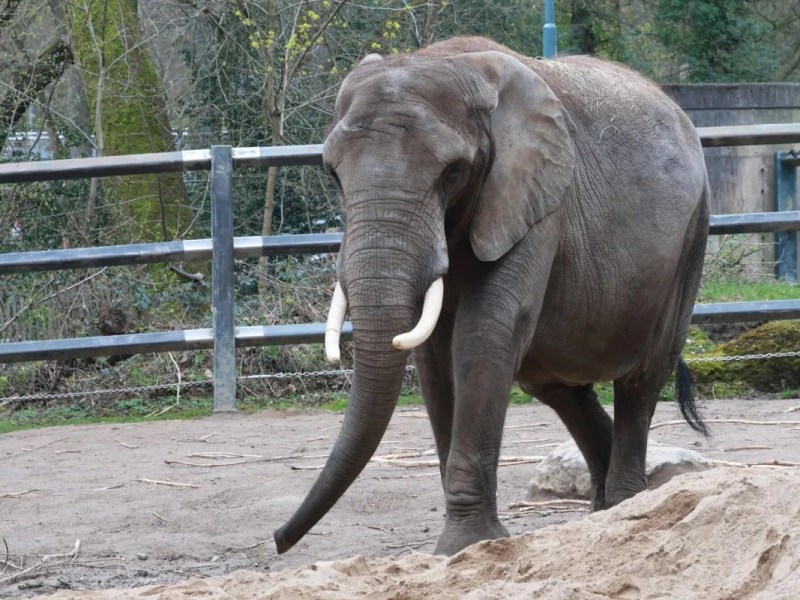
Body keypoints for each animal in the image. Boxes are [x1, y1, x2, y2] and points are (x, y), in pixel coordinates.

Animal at [274, 36, 709, 556]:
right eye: (333, 175)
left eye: (453, 173)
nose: (278, 540)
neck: (444, 59)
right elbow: (434, 356)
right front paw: (462, 546)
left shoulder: (536, 200)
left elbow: (484, 335)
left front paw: (466, 545)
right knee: (556, 385)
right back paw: (605, 507)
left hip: (691, 238)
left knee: (641, 380)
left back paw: (626, 506)